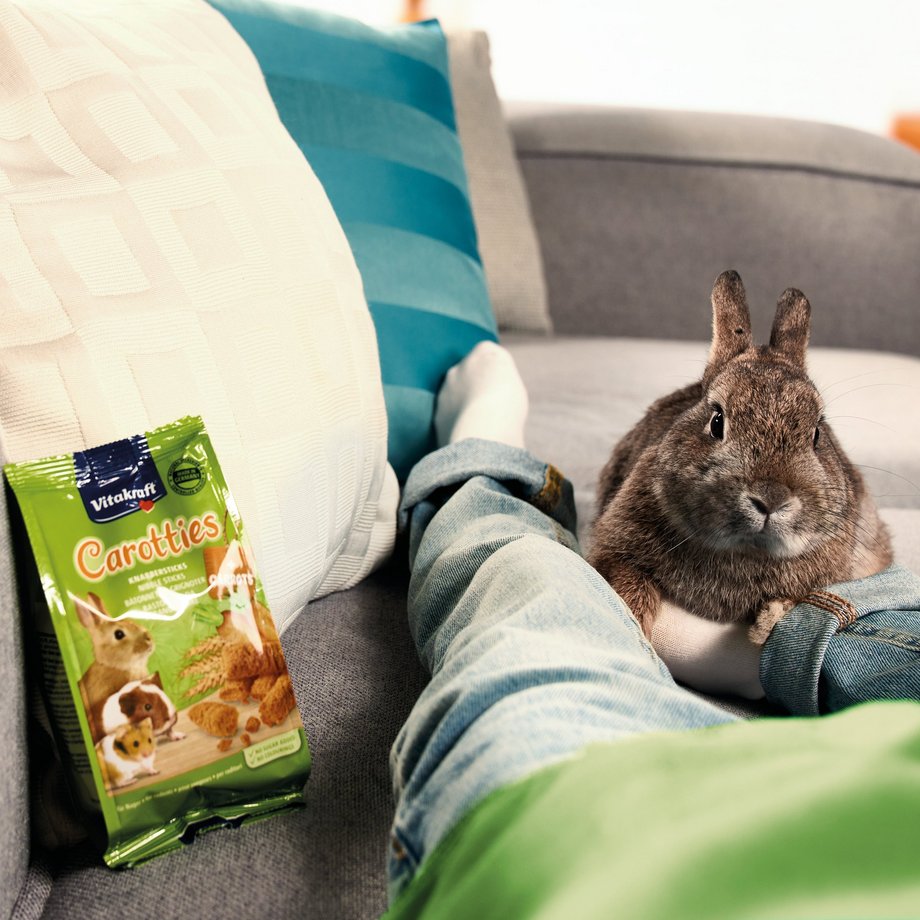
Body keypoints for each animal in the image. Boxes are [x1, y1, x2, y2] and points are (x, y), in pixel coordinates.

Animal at [589, 270, 893, 644]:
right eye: (717, 421)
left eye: (817, 434)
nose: (771, 499)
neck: (747, 549)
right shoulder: (615, 551)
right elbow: (629, 585)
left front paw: (765, 626)